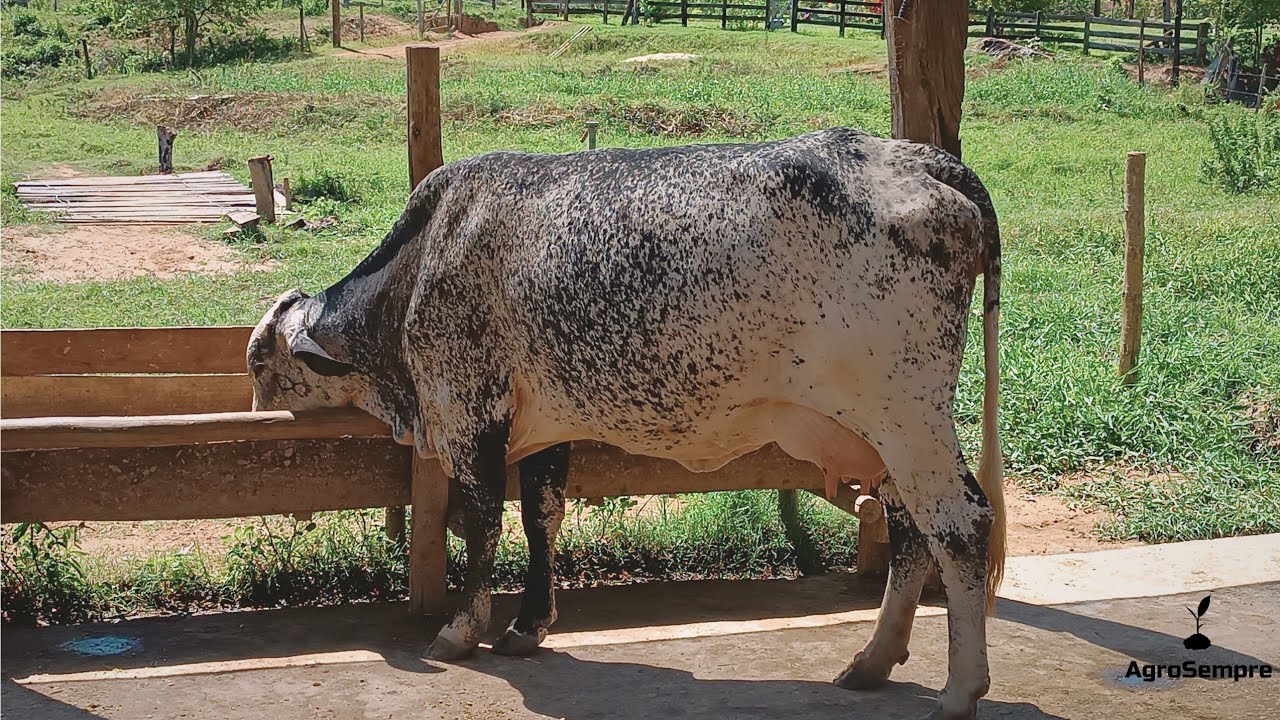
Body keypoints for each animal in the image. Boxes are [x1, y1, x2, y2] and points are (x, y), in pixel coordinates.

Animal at [247, 127, 1006, 720]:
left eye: (259, 362)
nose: (257, 410)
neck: (422, 263)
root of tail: (917, 158)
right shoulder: (547, 427)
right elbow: (541, 519)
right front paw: (528, 625)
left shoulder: (470, 418)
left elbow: (485, 525)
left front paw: (462, 631)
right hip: (884, 435)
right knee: (910, 529)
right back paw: (873, 661)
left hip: (907, 416)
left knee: (961, 526)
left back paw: (959, 691)